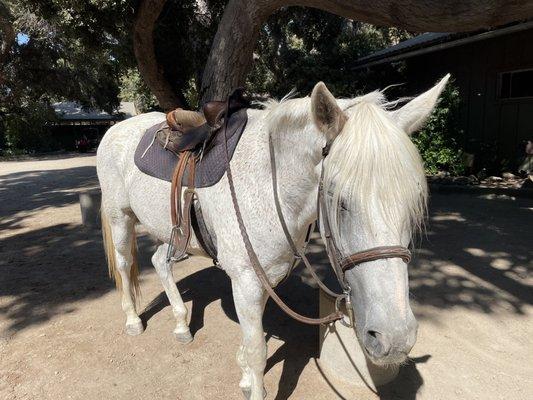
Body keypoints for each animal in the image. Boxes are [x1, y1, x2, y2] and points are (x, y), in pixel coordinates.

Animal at [96, 74, 448, 396]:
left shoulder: (266, 277)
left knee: (160, 262)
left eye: (415, 200)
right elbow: (257, 351)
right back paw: (133, 321)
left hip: (173, 232)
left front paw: (245, 377)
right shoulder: (246, 280)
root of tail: (116, 129)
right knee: (126, 265)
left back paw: (182, 324)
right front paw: (253, 384)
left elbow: (252, 343)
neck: (270, 186)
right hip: (120, 218)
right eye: (338, 199)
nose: (395, 338)